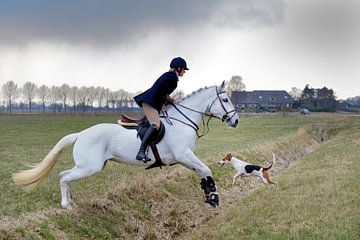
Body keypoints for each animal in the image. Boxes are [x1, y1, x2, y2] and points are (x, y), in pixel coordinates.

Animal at [12, 81, 239, 208]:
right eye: (226, 99)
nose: (235, 121)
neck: (183, 120)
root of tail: (80, 134)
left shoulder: (183, 158)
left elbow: (203, 172)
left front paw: (209, 193)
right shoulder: (183, 155)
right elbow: (206, 169)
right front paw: (213, 197)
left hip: (86, 166)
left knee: (65, 176)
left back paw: (71, 202)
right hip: (89, 167)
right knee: (63, 177)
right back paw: (65, 204)